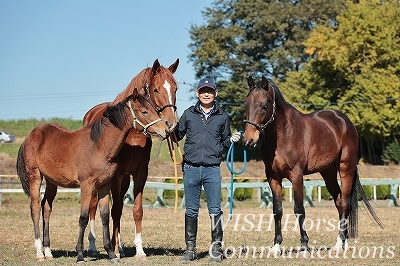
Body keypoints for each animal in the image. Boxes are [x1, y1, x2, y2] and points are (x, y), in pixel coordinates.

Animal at [15, 89, 169, 262]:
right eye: (144, 111)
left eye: (154, 109)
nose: (166, 130)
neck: (99, 145)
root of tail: (30, 136)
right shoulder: (86, 185)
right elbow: (83, 217)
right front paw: (80, 256)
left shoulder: (104, 185)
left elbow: (105, 215)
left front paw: (111, 254)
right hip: (35, 176)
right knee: (35, 208)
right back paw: (39, 253)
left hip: (51, 181)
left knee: (46, 207)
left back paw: (48, 252)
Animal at [82, 58, 179, 258]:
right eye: (155, 89)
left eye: (175, 88)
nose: (171, 124)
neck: (133, 134)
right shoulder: (116, 175)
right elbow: (116, 210)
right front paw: (114, 250)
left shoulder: (140, 173)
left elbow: (137, 210)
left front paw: (138, 250)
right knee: (94, 205)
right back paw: (93, 245)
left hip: (125, 178)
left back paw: (119, 246)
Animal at [242, 76, 382, 255]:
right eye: (246, 104)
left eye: (264, 105)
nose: (248, 140)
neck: (283, 134)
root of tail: (345, 121)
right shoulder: (273, 177)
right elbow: (277, 210)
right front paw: (276, 246)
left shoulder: (296, 175)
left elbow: (299, 209)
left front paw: (304, 245)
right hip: (328, 173)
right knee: (338, 202)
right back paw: (343, 242)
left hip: (346, 169)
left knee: (345, 203)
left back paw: (339, 244)